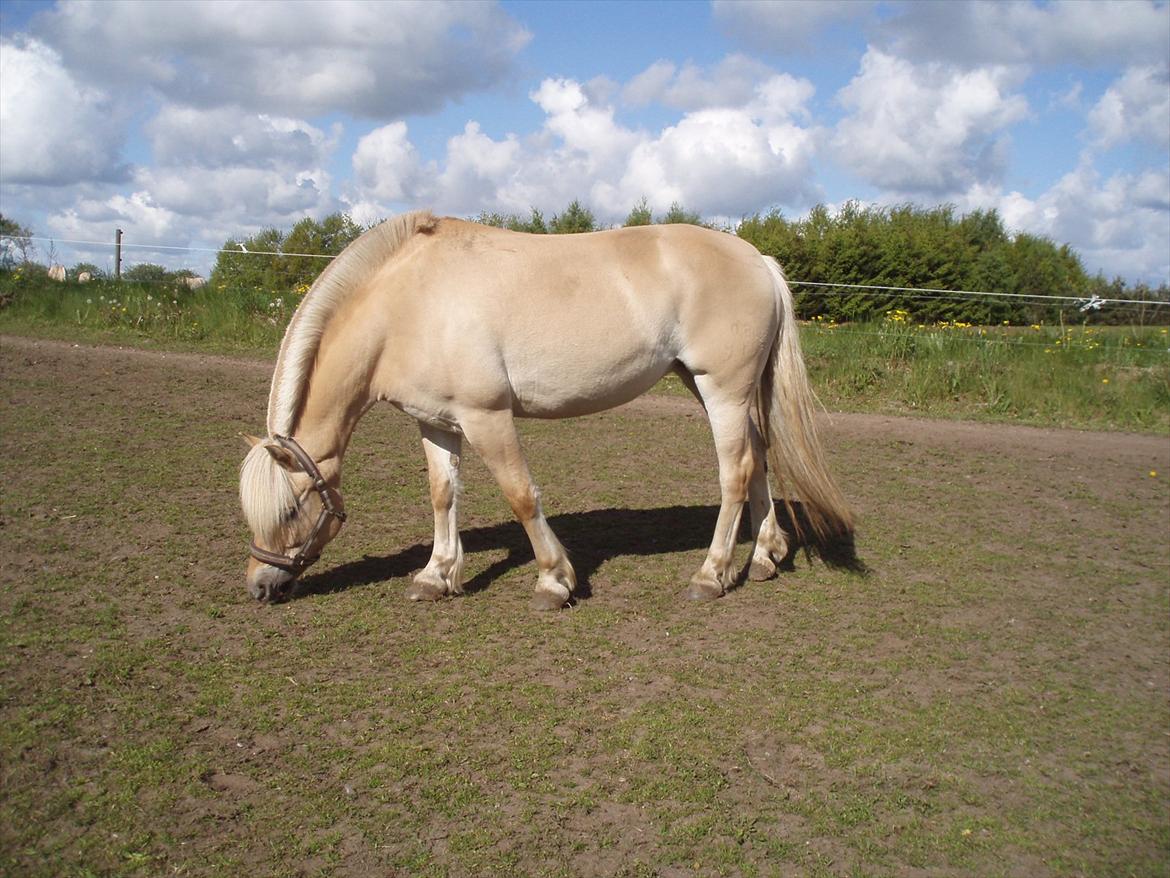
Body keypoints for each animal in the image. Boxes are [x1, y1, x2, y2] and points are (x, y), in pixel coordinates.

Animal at [239, 214, 851, 613]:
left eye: (291, 509)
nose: (260, 586)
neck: (408, 304)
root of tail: (757, 260)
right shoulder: (434, 421)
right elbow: (442, 495)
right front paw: (436, 576)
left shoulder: (486, 417)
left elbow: (521, 496)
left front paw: (554, 582)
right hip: (717, 388)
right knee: (760, 458)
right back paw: (766, 556)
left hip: (721, 389)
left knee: (736, 472)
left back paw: (711, 574)